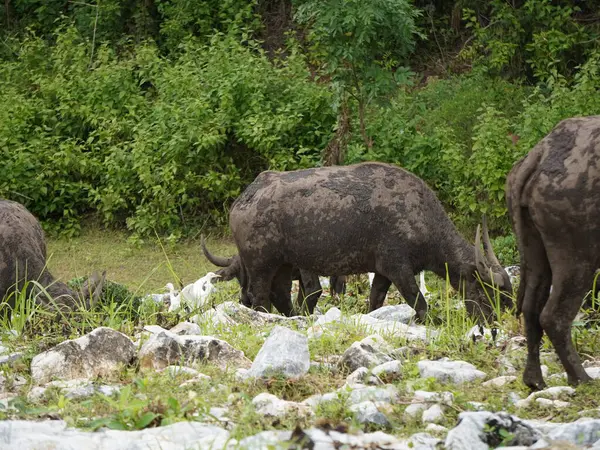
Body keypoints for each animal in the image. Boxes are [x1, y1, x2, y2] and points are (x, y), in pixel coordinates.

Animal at [227, 163, 508, 322]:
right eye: (486, 291)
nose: (494, 321)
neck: (421, 216)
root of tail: (244, 199)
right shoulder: (398, 268)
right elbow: (419, 302)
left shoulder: (383, 272)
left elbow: (375, 300)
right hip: (261, 265)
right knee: (259, 296)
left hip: (284, 265)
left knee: (280, 294)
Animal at [506, 117, 600, 390]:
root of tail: (540, 153)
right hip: (578, 254)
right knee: (553, 315)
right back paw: (581, 378)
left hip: (534, 248)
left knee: (531, 308)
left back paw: (534, 379)